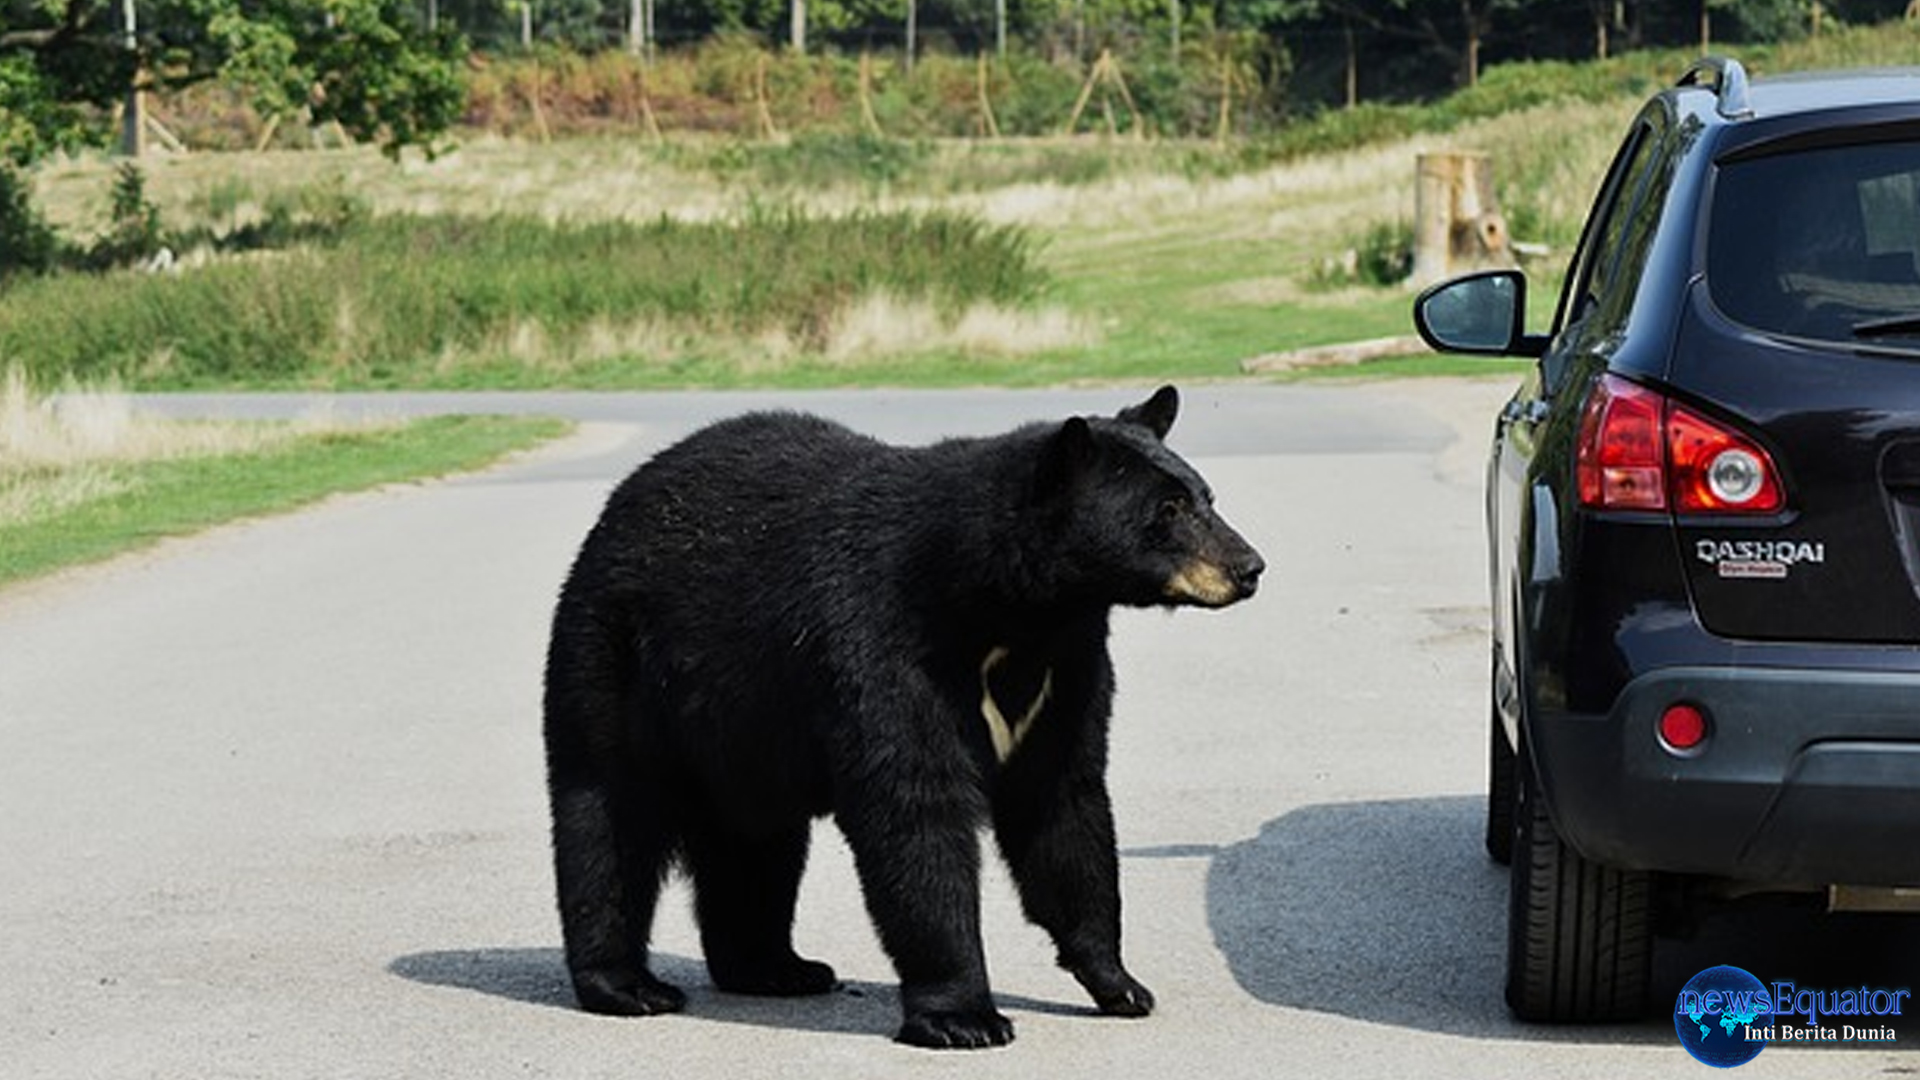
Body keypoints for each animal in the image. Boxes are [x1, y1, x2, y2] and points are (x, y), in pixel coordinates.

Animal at [541, 384, 1259, 1045]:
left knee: (757, 844)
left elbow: (1064, 806)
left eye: (1207, 497)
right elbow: (916, 811)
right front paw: (965, 1016)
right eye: (1166, 509)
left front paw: (1120, 984)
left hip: (745, 730)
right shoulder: (886, 643)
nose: (1250, 566)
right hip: (611, 661)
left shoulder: (1067, 668)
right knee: (608, 818)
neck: (1010, 612)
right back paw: (627, 985)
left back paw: (776, 968)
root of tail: (617, 506)